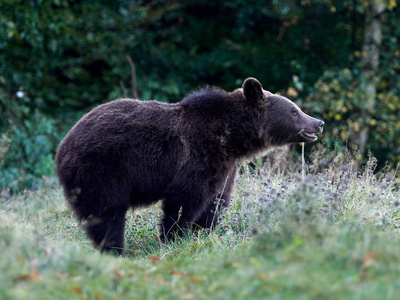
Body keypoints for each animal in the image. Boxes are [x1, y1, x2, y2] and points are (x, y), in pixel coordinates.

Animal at [54, 77, 324, 253]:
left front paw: (204, 232)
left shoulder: (225, 167)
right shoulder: (197, 157)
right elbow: (185, 201)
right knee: (107, 213)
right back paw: (114, 249)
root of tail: (63, 146)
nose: (318, 122)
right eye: (294, 110)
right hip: (103, 169)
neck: (231, 138)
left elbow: (216, 201)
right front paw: (174, 237)